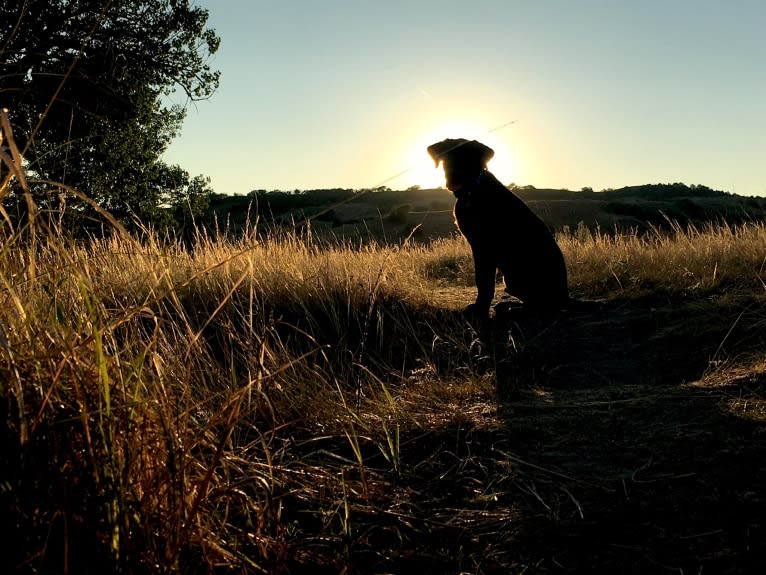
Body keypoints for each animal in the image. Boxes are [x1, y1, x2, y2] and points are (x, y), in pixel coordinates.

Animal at [428, 138, 572, 320]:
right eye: (447, 158)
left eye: (469, 158)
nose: (453, 178)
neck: (472, 190)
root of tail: (566, 298)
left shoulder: (484, 248)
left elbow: (484, 282)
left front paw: (480, 310)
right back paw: (508, 305)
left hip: (517, 276)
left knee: (543, 306)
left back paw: (513, 310)